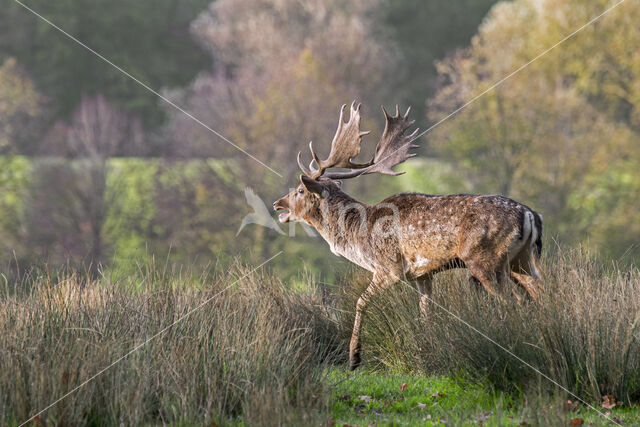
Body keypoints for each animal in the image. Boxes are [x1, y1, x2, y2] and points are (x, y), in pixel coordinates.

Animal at [272, 102, 544, 370]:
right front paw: (426, 352)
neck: (358, 238)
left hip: (485, 260)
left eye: (299, 190)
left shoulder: (389, 267)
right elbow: (425, 312)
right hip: (521, 261)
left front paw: (354, 357)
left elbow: (361, 301)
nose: (277, 204)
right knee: (538, 293)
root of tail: (530, 214)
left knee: (514, 301)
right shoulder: (422, 275)